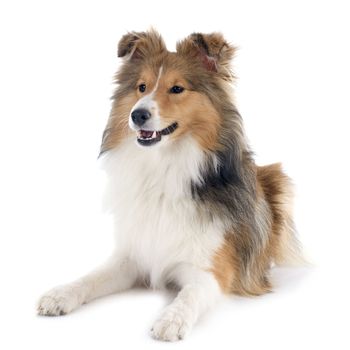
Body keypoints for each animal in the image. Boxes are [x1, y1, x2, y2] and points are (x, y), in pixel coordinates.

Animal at [37, 30, 300, 342]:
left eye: (177, 89)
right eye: (141, 87)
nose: (137, 115)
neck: (163, 166)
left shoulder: (210, 269)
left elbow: (189, 294)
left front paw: (171, 319)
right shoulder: (132, 256)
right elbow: (91, 277)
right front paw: (60, 294)